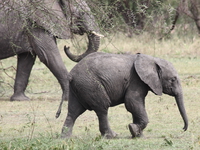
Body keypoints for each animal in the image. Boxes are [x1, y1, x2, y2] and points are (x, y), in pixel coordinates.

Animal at [57, 47, 188, 138]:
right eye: (173, 79)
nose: (183, 128)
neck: (152, 59)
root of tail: (71, 75)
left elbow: (136, 105)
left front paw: (138, 135)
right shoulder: (136, 80)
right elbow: (132, 102)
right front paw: (133, 130)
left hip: (78, 87)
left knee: (74, 111)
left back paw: (65, 137)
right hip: (91, 85)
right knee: (102, 108)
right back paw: (112, 136)